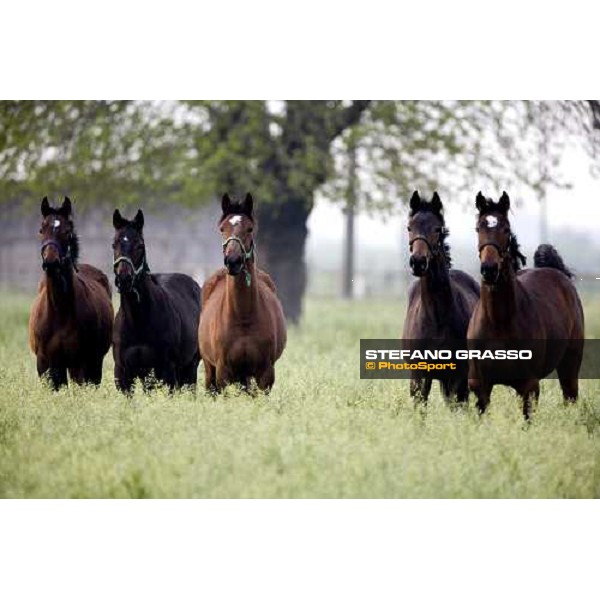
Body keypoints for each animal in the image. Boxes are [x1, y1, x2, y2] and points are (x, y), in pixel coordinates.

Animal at [29, 197, 113, 390]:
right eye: (41, 229)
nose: (51, 262)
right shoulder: (46, 365)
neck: (60, 312)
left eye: (67, 231)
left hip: (93, 363)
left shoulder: (81, 362)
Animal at [112, 209, 204, 392]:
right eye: (114, 244)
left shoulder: (166, 370)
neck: (138, 322)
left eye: (140, 245)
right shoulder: (123, 373)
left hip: (189, 368)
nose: (124, 279)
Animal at [198, 193, 288, 394]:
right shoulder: (222, 372)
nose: (233, 261)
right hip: (210, 368)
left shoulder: (265, 373)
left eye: (250, 228)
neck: (243, 317)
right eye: (222, 228)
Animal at [400, 192, 480, 404]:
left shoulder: (458, 376)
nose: (418, 262)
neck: (436, 318)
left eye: (437, 229)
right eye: (409, 227)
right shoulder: (419, 376)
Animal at [466, 191, 584, 418]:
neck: (499, 322)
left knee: (570, 396)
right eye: (478, 228)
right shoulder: (480, 387)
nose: (489, 269)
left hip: (569, 365)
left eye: (506, 228)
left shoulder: (529, 387)